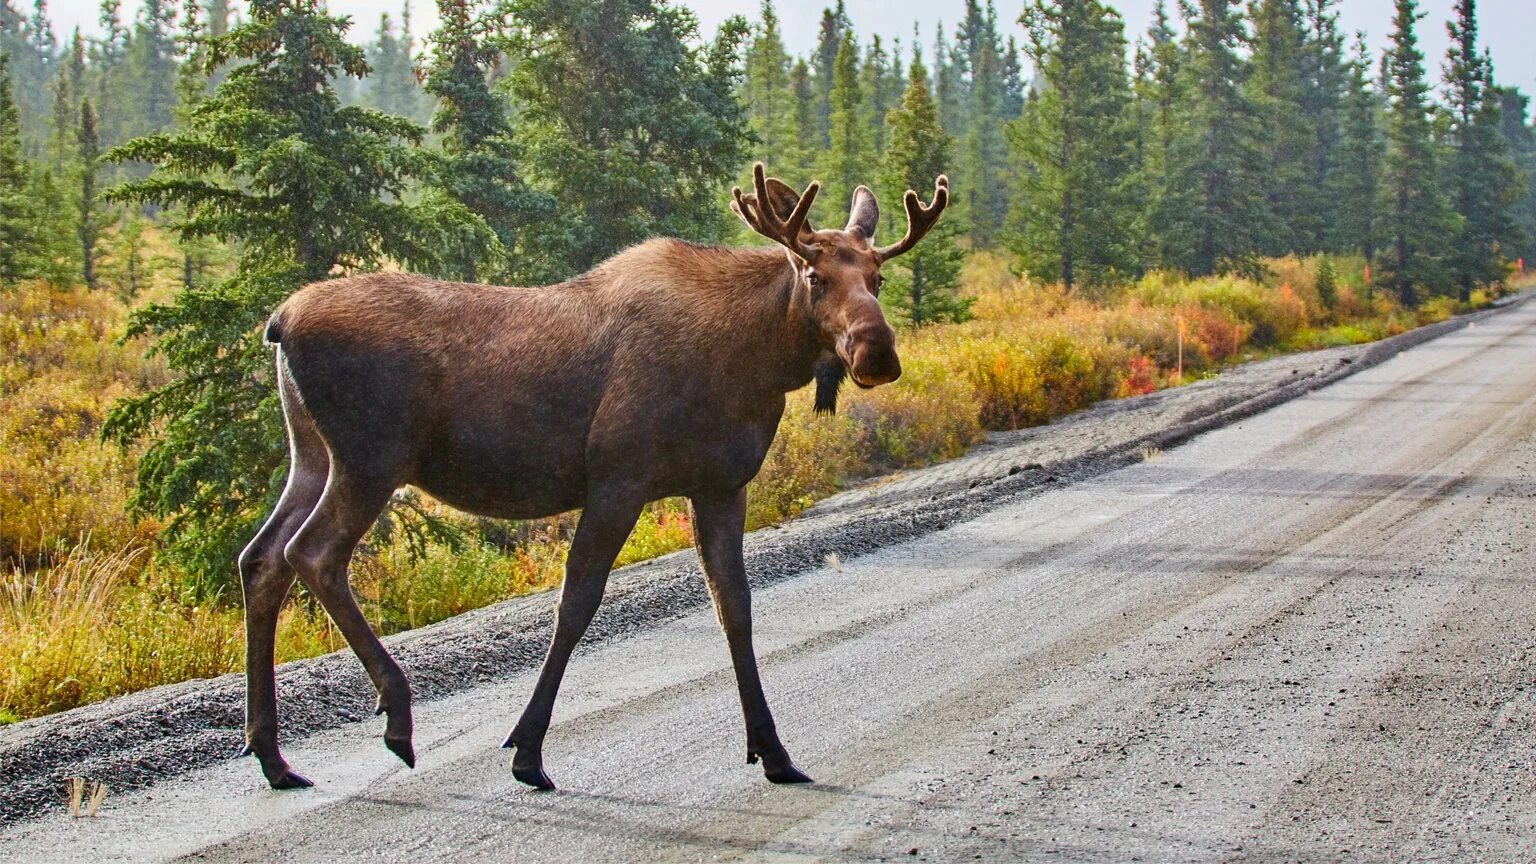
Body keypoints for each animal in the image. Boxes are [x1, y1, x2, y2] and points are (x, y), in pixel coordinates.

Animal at [238, 159, 946, 787]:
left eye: (878, 278)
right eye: (814, 274)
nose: (876, 352)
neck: (753, 364)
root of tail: (279, 322)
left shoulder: (720, 486)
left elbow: (735, 608)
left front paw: (773, 751)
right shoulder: (618, 478)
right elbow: (576, 604)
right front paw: (527, 751)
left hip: (312, 456)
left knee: (262, 557)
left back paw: (273, 757)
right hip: (371, 459)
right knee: (312, 554)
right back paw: (395, 714)